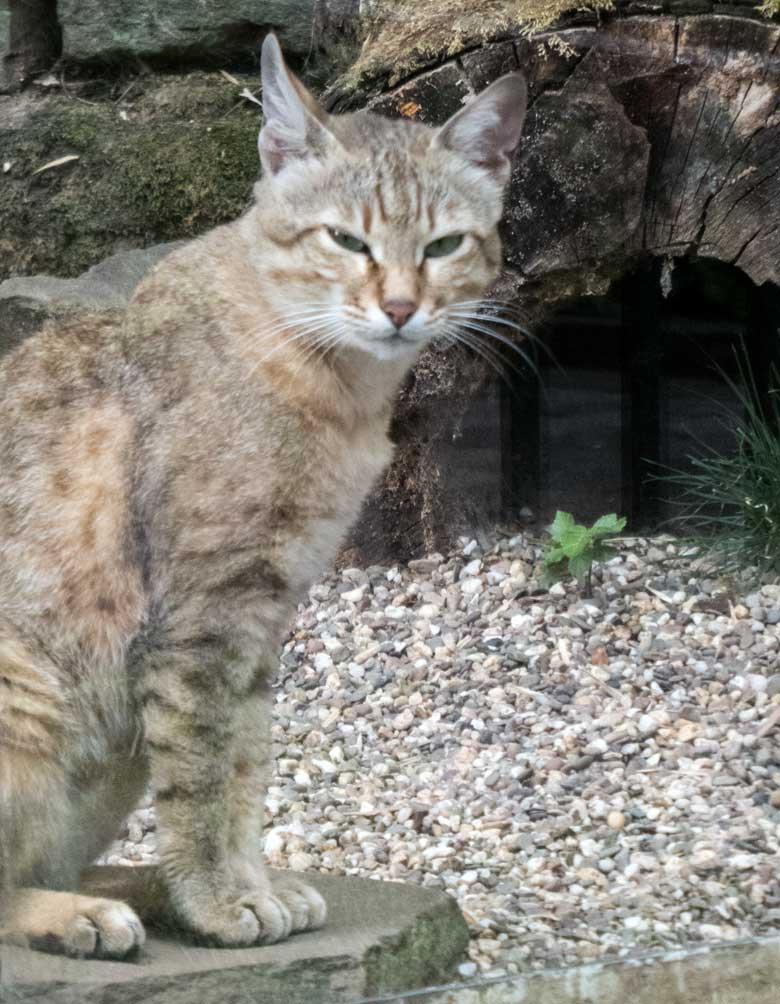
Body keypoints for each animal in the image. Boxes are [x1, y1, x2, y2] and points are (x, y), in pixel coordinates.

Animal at [0, 31, 526, 955]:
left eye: (442, 247)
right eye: (346, 241)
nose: (400, 308)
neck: (338, 389)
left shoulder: (262, 608)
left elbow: (244, 762)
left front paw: (241, 884)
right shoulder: (203, 615)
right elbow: (203, 773)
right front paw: (216, 898)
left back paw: (133, 890)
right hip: (28, 693)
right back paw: (78, 913)